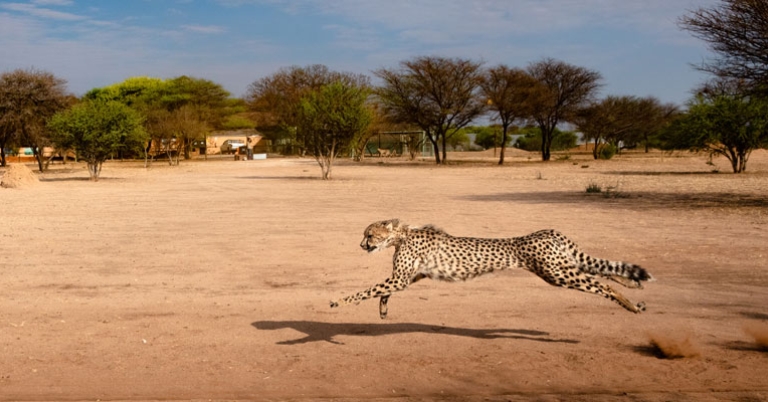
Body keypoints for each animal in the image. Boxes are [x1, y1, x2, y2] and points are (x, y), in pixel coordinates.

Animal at [330, 219, 654, 319]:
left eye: (369, 234)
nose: (361, 245)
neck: (404, 234)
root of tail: (548, 231)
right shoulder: (410, 277)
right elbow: (382, 291)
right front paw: (383, 309)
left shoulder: (401, 278)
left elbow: (368, 290)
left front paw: (339, 301)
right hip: (561, 267)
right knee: (604, 270)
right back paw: (634, 287)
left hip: (558, 274)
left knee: (603, 284)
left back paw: (631, 305)